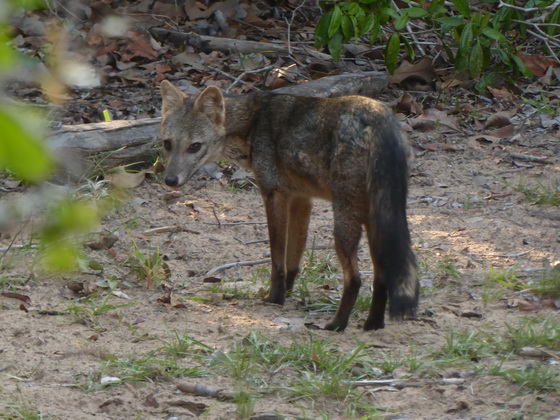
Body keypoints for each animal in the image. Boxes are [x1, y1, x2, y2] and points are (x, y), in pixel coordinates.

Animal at [160, 79, 418, 332]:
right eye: (167, 144)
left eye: (194, 146)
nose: (170, 180)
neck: (253, 124)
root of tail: (380, 115)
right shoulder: (301, 199)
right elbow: (294, 258)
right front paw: (289, 291)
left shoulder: (274, 195)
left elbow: (278, 259)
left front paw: (274, 298)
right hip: (375, 221)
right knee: (381, 277)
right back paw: (373, 324)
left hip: (345, 223)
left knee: (355, 279)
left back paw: (336, 325)